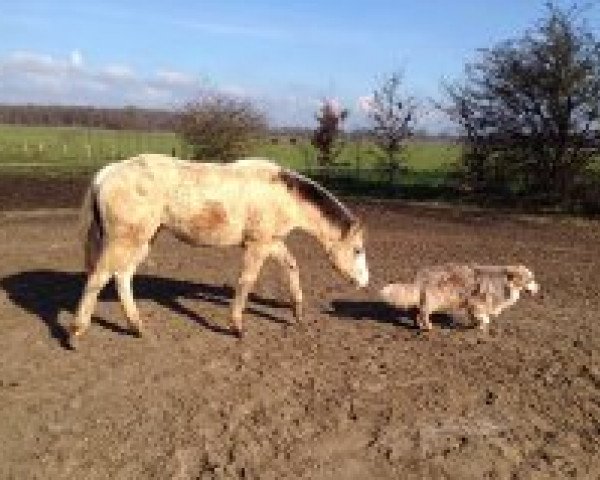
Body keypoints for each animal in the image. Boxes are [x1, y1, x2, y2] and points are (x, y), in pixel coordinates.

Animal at [71, 152, 370, 344]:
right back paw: (76, 332)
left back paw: (138, 328)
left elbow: (291, 265)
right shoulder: (257, 245)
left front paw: (297, 313)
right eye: (357, 250)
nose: (365, 283)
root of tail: (107, 173)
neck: (283, 196)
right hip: (125, 240)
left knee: (122, 277)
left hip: (141, 240)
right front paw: (237, 327)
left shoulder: (271, 242)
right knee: (98, 278)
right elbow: (246, 281)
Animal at [380, 264, 540, 332]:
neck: (505, 282)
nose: (538, 289)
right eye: (530, 279)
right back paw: (428, 326)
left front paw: (475, 324)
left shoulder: (472, 304)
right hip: (435, 299)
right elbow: (484, 318)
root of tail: (421, 276)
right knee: (423, 313)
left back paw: (419, 325)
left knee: (417, 312)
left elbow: (476, 317)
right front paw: (481, 326)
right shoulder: (478, 303)